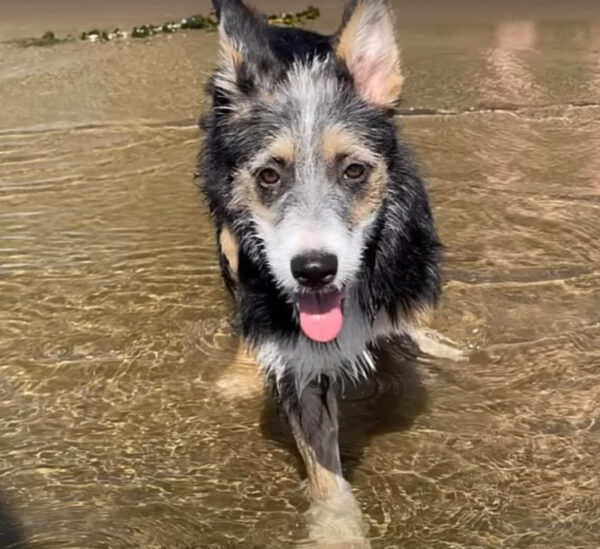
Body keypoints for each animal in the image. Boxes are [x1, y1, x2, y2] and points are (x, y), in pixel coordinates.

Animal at [199, 0, 442, 536]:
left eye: (354, 170)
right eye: (269, 176)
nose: (314, 270)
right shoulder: (300, 361)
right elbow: (324, 467)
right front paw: (338, 532)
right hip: (229, 239)